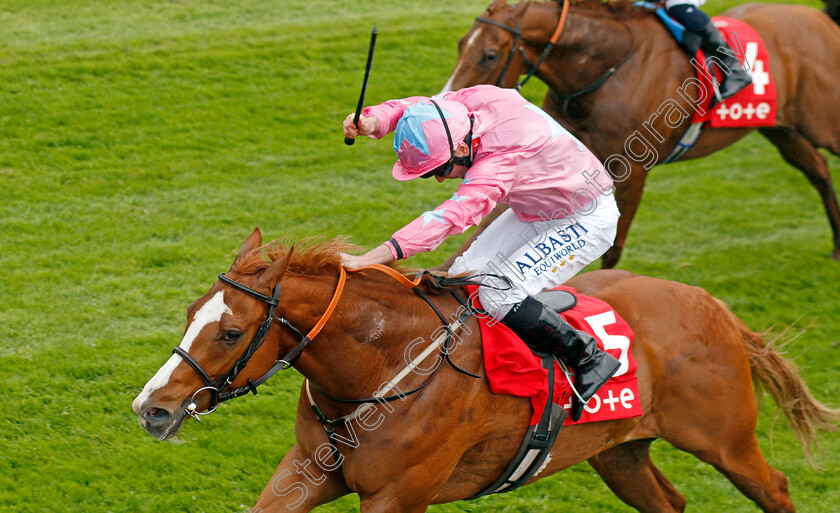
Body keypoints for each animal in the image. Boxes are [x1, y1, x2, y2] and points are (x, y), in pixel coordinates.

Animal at [133, 229, 840, 512]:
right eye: (191, 313)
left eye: (230, 332)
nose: (152, 408)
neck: (384, 370)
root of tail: (710, 303)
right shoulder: (306, 472)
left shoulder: (397, 494)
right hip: (619, 450)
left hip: (724, 439)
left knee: (776, 487)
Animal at [440, 1, 840, 268]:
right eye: (460, 44)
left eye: (490, 54)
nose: (450, 104)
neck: (604, 69)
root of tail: (821, 20)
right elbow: (487, 228)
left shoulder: (630, 171)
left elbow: (613, 247)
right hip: (782, 129)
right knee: (819, 171)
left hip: (823, 122)